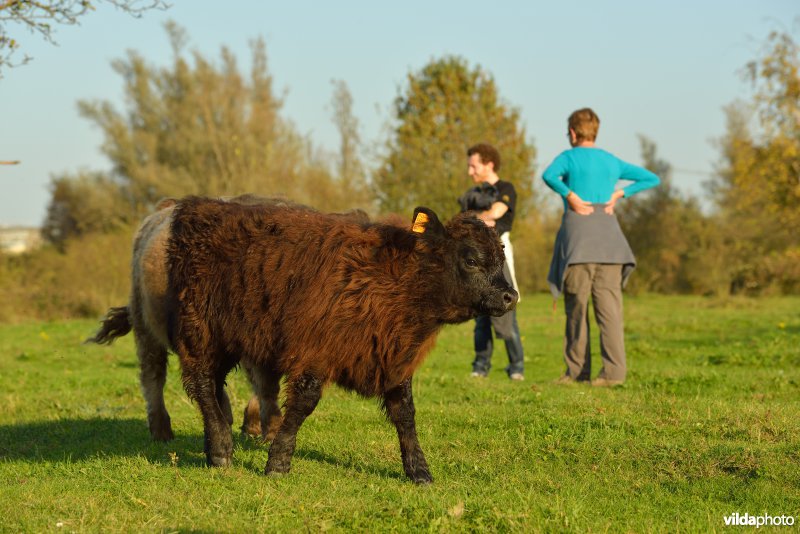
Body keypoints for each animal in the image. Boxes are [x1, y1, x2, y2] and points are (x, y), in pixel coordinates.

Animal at [167, 197, 520, 486]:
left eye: (500, 258)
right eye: (471, 260)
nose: (510, 296)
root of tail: (198, 206)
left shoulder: (394, 359)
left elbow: (405, 413)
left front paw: (419, 470)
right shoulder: (314, 352)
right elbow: (303, 404)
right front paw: (278, 462)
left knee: (213, 387)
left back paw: (212, 444)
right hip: (200, 332)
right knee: (202, 384)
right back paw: (221, 449)